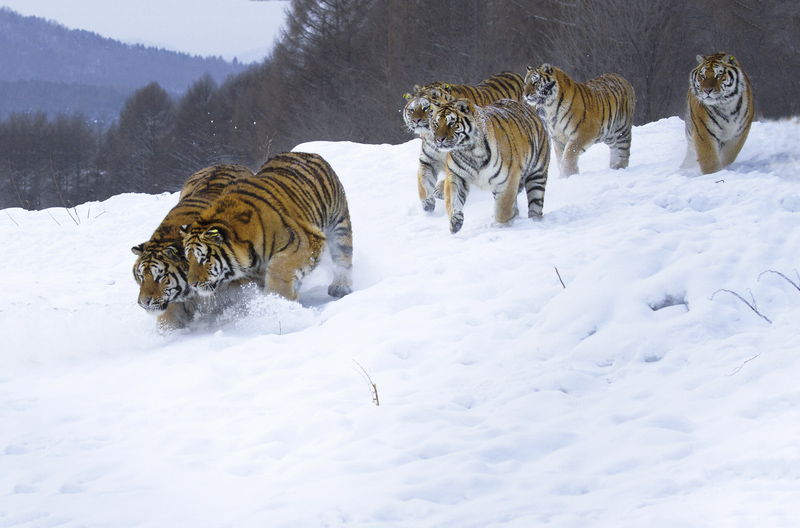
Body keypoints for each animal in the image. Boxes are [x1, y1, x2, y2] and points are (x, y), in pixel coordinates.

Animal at [184, 151, 356, 304]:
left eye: (204, 259)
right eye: (188, 259)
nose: (192, 284)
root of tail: (306, 153)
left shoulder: (304, 241)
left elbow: (280, 268)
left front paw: (279, 301)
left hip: (338, 223)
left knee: (343, 257)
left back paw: (340, 287)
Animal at [400, 71, 524, 212]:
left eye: (426, 107)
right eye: (412, 110)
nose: (415, 120)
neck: (432, 135)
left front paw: (440, 190)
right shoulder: (428, 160)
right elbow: (423, 182)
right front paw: (427, 202)